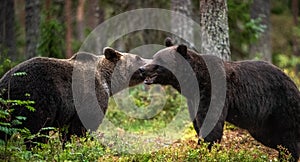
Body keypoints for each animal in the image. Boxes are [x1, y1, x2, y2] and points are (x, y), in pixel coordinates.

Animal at [0, 46, 149, 146]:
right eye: (138, 57)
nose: (150, 60)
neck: (107, 80)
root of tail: (4, 84)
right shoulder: (90, 97)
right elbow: (80, 129)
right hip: (35, 99)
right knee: (36, 132)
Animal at [139, 39, 300, 161]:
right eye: (154, 56)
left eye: (159, 60)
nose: (142, 69)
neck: (194, 82)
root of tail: (292, 81)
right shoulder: (193, 99)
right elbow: (198, 122)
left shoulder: (212, 90)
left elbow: (211, 122)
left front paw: (205, 150)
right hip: (263, 123)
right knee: (274, 139)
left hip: (282, 105)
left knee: (289, 137)